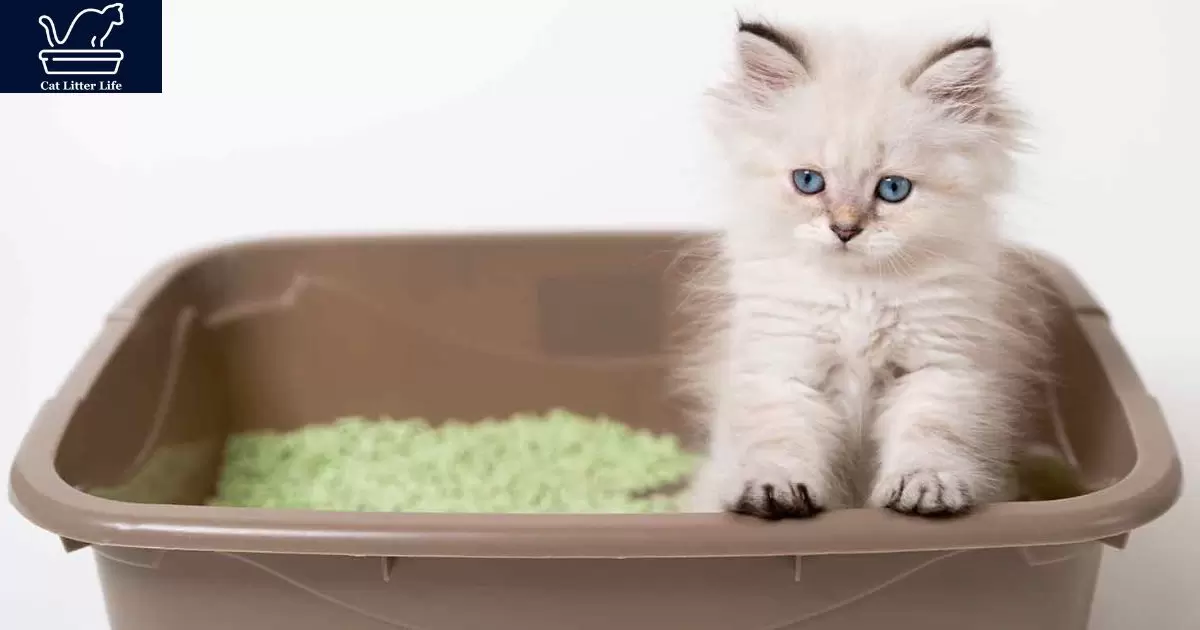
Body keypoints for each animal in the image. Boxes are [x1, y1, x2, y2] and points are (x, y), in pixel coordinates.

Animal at [686, 20, 1051, 520]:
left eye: (893, 189)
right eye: (808, 181)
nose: (845, 229)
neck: (857, 293)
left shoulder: (939, 366)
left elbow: (929, 436)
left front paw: (924, 487)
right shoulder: (782, 368)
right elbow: (781, 439)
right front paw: (774, 488)